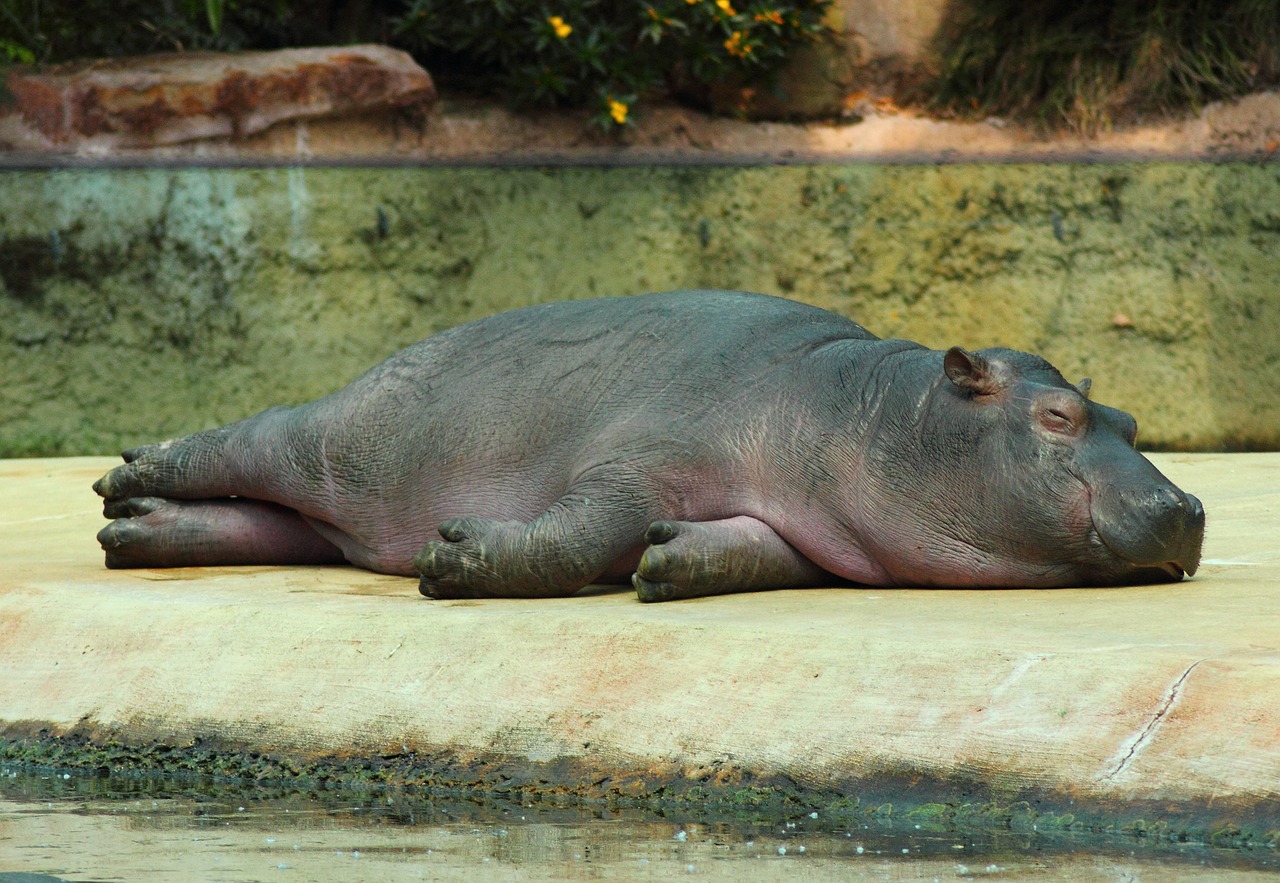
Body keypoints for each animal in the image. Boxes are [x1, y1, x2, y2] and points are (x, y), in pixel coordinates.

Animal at [94, 289, 1203, 598]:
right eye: (1055, 418)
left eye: (1128, 421)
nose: (1187, 504)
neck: (877, 411)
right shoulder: (632, 460)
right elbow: (579, 532)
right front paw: (456, 557)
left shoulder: (794, 523)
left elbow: (749, 555)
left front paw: (669, 565)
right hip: (341, 437)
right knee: (248, 442)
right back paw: (124, 475)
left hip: (335, 508)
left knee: (268, 526)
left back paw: (133, 529)